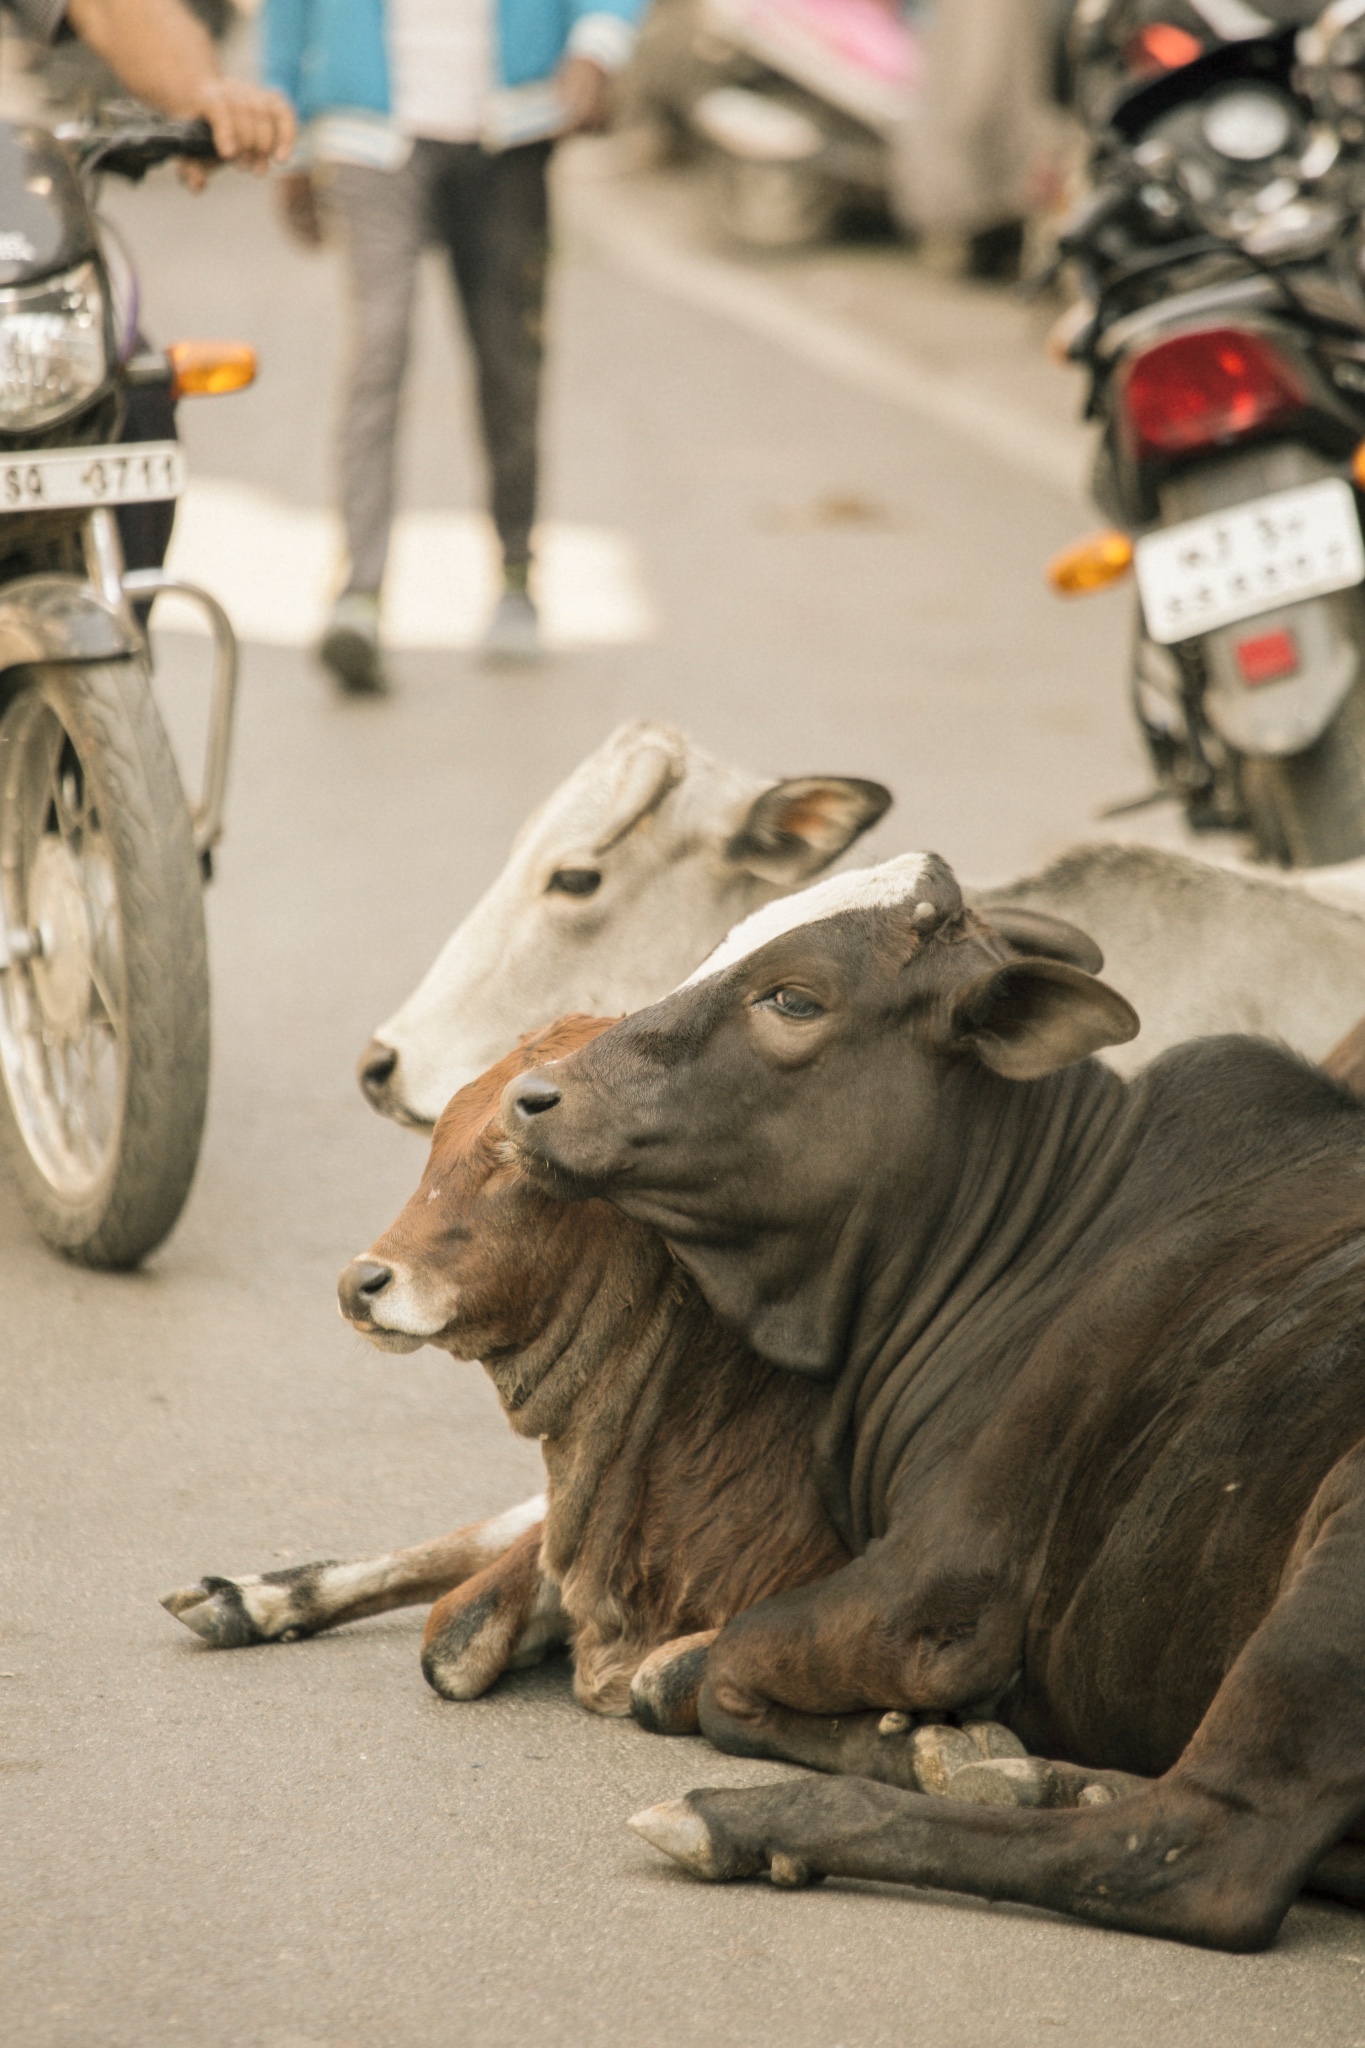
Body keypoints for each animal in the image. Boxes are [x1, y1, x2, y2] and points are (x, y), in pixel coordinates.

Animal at [507, 847, 1365, 1949]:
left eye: (794, 998)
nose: (532, 1094)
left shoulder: (934, 1586)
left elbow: (733, 1671)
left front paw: (930, 1749)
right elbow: (675, 1678)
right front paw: (977, 1754)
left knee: (1193, 1853)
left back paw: (754, 1818)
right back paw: (1065, 1777)